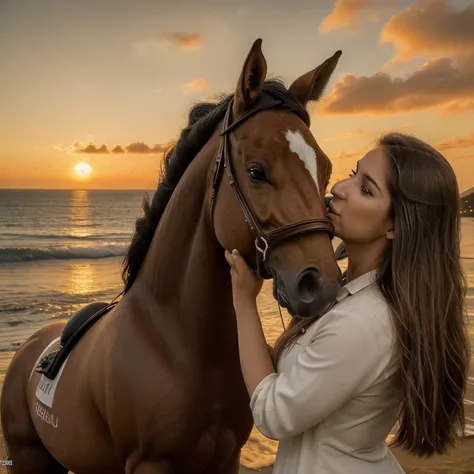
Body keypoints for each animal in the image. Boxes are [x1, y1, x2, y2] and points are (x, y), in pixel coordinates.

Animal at [0, 39, 342, 474]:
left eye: (326, 170)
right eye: (256, 171)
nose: (322, 284)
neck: (178, 344)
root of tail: (29, 347)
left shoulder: (227, 458)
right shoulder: (152, 463)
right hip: (27, 457)